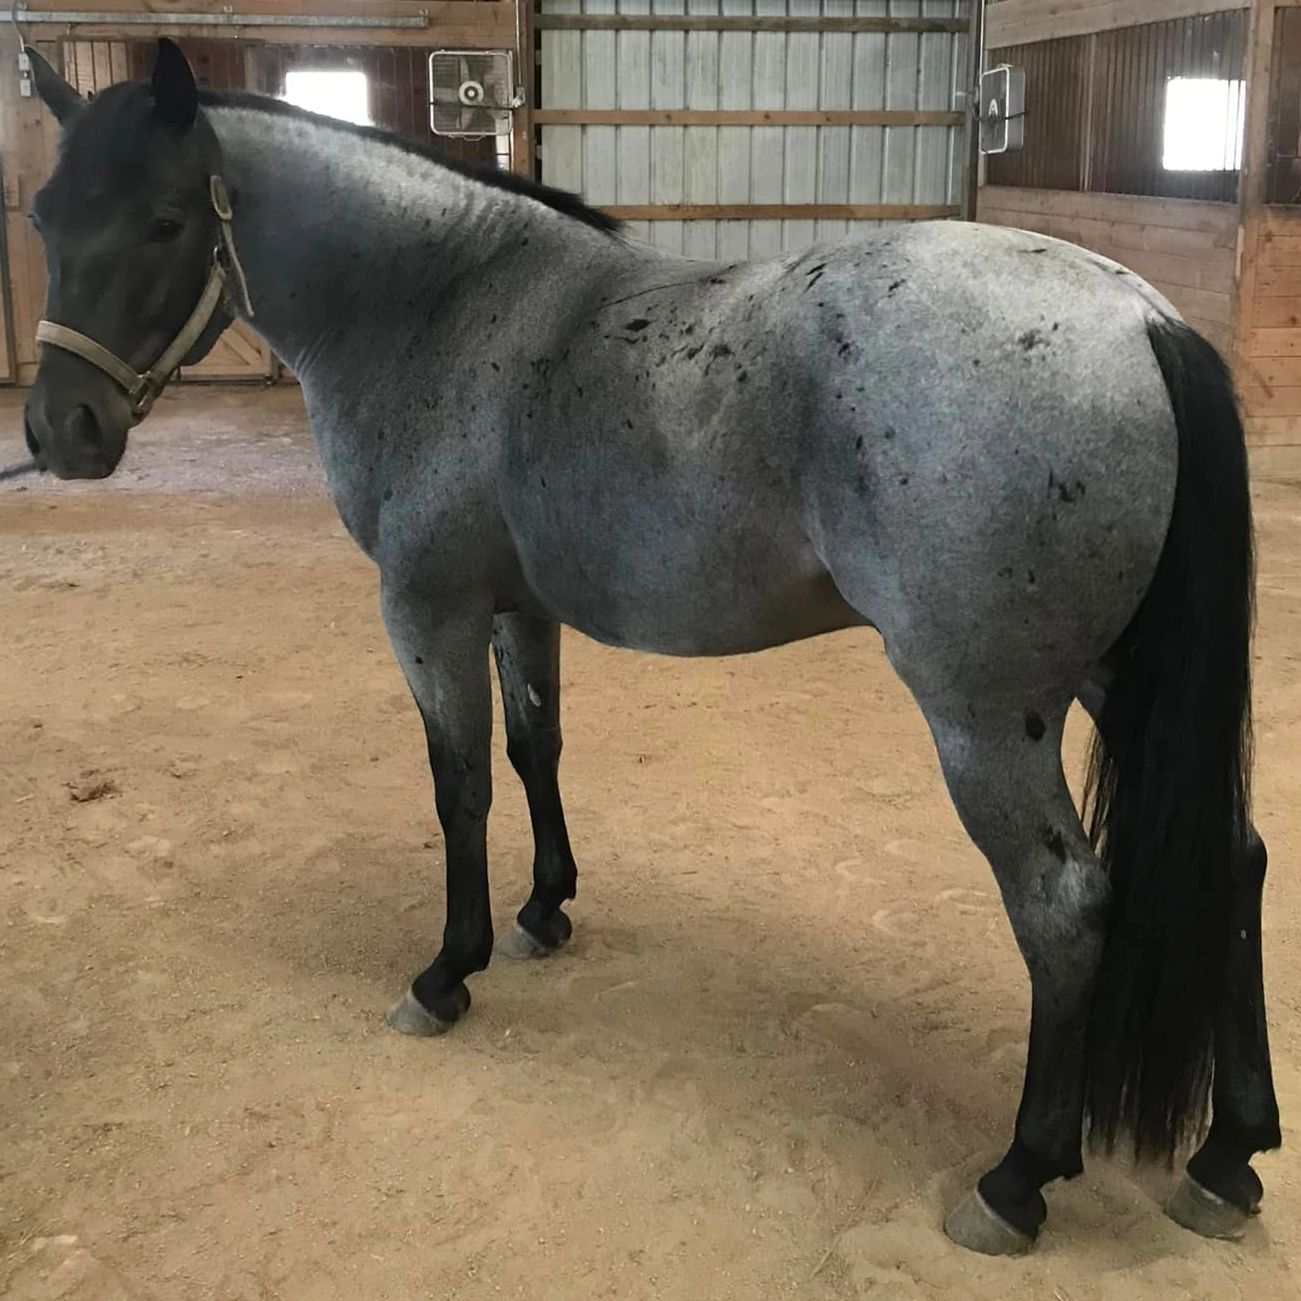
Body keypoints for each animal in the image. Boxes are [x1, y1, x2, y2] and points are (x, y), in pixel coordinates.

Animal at [22, 39, 1280, 1256]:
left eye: (164, 220)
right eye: (43, 214)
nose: (59, 430)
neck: (439, 306)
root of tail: (1138, 318)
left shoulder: (425, 607)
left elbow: (458, 785)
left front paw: (446, 971)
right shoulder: (513, 606)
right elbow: (533, 752)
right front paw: (543, 910)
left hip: (984, 716)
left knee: (1060, 907)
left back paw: (1017, 1178)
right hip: (1113, 678)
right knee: (1235, 858)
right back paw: (1227, 1155)